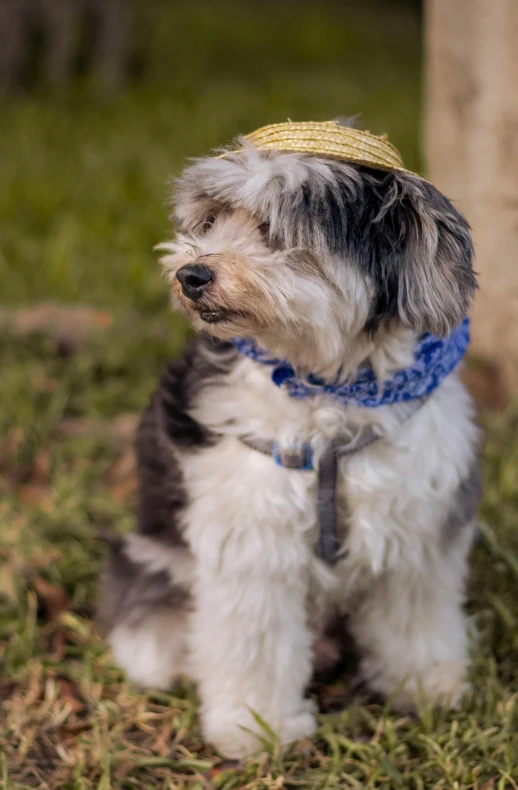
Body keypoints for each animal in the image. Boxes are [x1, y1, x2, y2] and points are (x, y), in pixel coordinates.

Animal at [98, 120, 484, 756]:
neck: (329, 389)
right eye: (211, 221)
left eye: (273, 229)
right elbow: (255, 645)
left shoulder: (416, 527)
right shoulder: (253, 539)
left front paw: (425, 685)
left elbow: (414, 620)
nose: (190, 274)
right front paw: (259, 728)